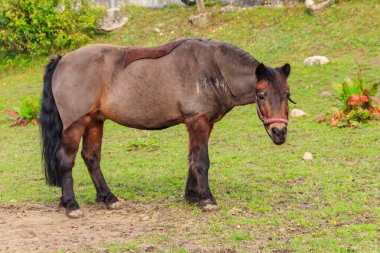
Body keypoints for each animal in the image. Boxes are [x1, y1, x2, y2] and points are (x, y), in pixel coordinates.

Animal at [40, 37, 294, 217]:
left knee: (91, 158)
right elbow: (201, 161)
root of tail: (62, 60)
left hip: (95, 121)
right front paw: (207, 200)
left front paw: (192, 197)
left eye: (287, 94)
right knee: (65, 160)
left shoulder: (203, 124)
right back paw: (71, 205)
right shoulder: (198, 122)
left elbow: (192, 159)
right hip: (76, 124)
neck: (214, 69)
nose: (279, 132)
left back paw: (108, 198)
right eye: (261, 95)